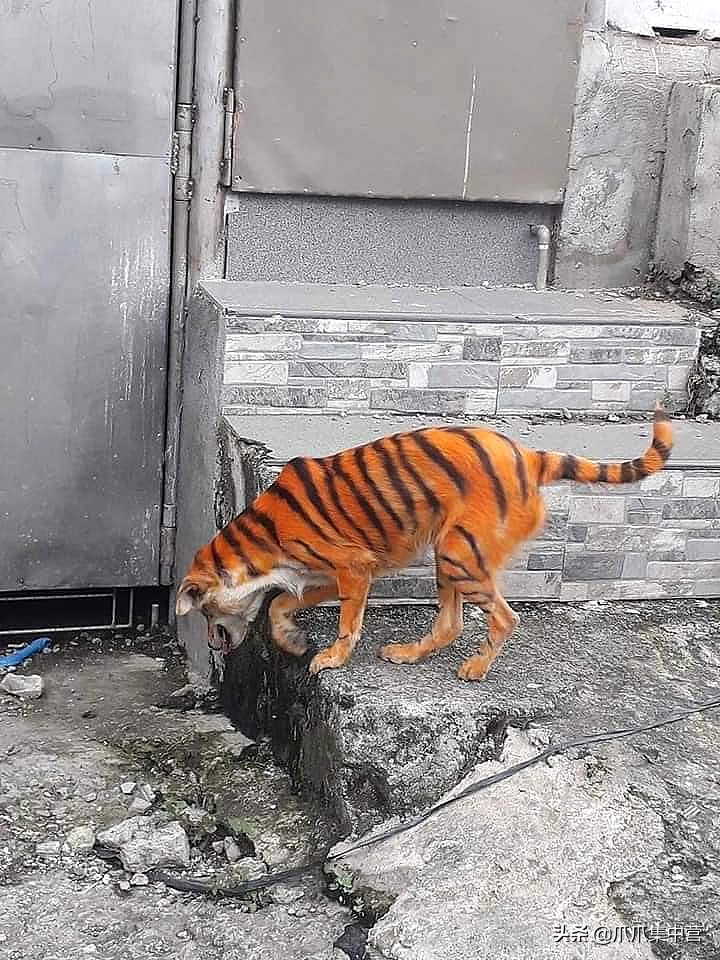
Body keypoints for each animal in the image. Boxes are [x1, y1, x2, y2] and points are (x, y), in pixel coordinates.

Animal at [176, 407, 672, 682]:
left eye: (204, 612)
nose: (213, 646)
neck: (254, 545)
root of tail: (528, 456)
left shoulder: (352, 567)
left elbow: (346, 622)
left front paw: (332, 658)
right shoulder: (328, 575)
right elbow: (280, 604)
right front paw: (295, 642)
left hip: (459, 554)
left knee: (504, 617)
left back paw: (476, 668)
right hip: (448, 553)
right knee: (451, 622)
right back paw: (407, 654)